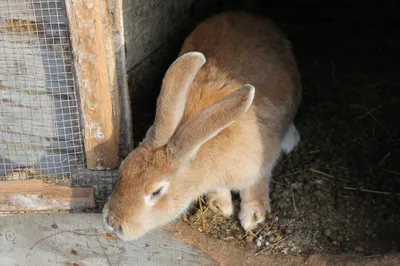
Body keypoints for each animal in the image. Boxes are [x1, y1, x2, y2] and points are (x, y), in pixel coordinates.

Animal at [101, 10, 302, 241]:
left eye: (156, 192)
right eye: (123, 169)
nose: (113, 223)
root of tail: (249, 15)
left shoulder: (261, 163)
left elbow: (256, 185)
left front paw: (253, 216)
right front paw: (220, 205)